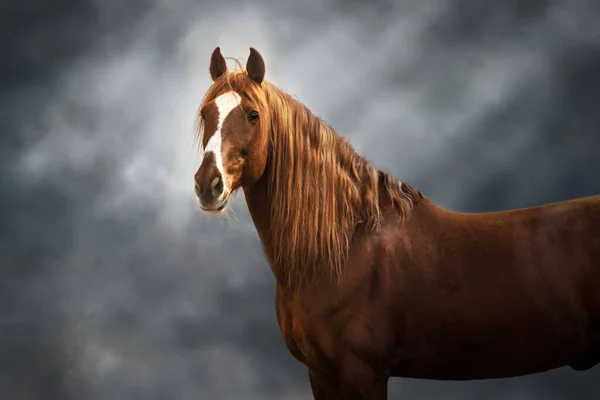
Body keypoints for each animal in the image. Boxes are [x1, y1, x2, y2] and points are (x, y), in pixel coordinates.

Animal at [191, 46, 600, 396]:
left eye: (252, 115)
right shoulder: (319, 373)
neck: (342, 249)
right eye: (205, 114)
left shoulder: (361, 372)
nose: (207, 185)